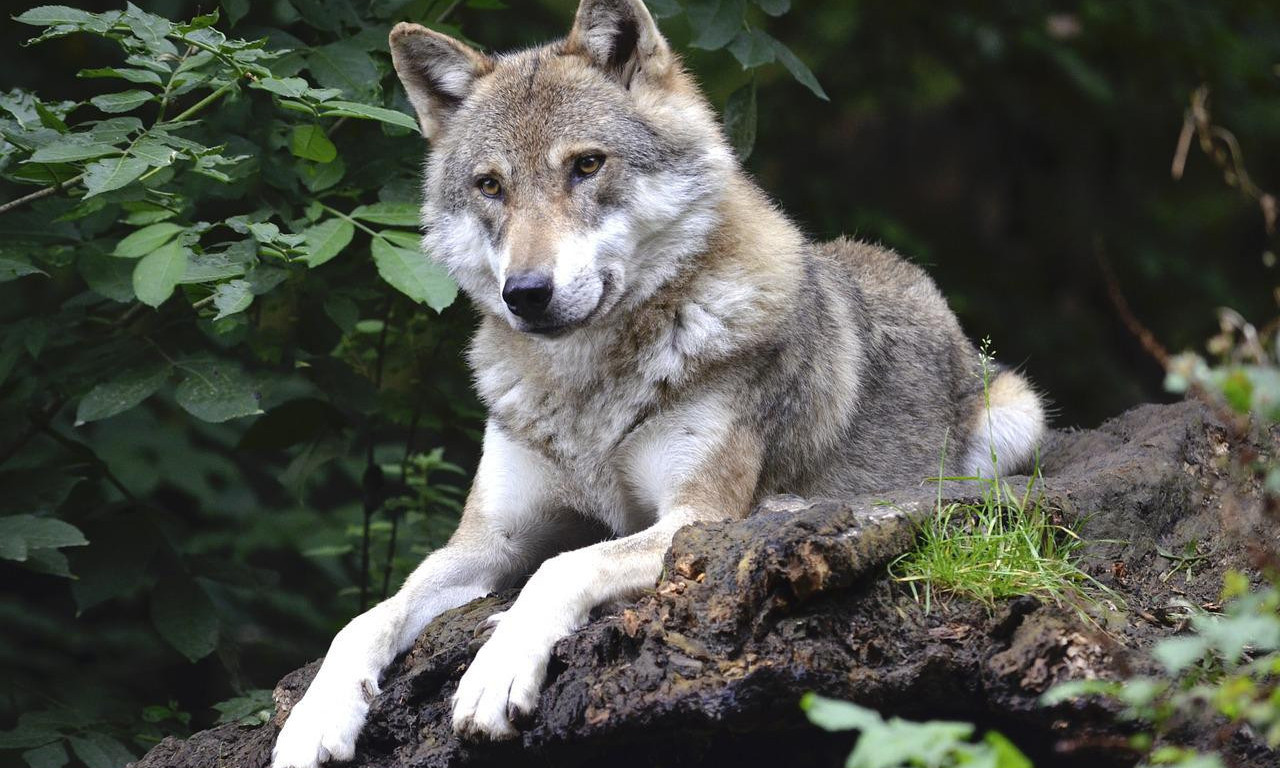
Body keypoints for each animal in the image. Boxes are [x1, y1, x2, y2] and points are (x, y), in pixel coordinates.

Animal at [267, 0, 1039, 762]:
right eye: (490, 186)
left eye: (586, 165)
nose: (526, 293)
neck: (586, 390)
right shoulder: (487, 543)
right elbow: (368, 616)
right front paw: (313, 719)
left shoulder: (695, 519)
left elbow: (564, 565)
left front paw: (496, 671)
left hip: (1014, 418)